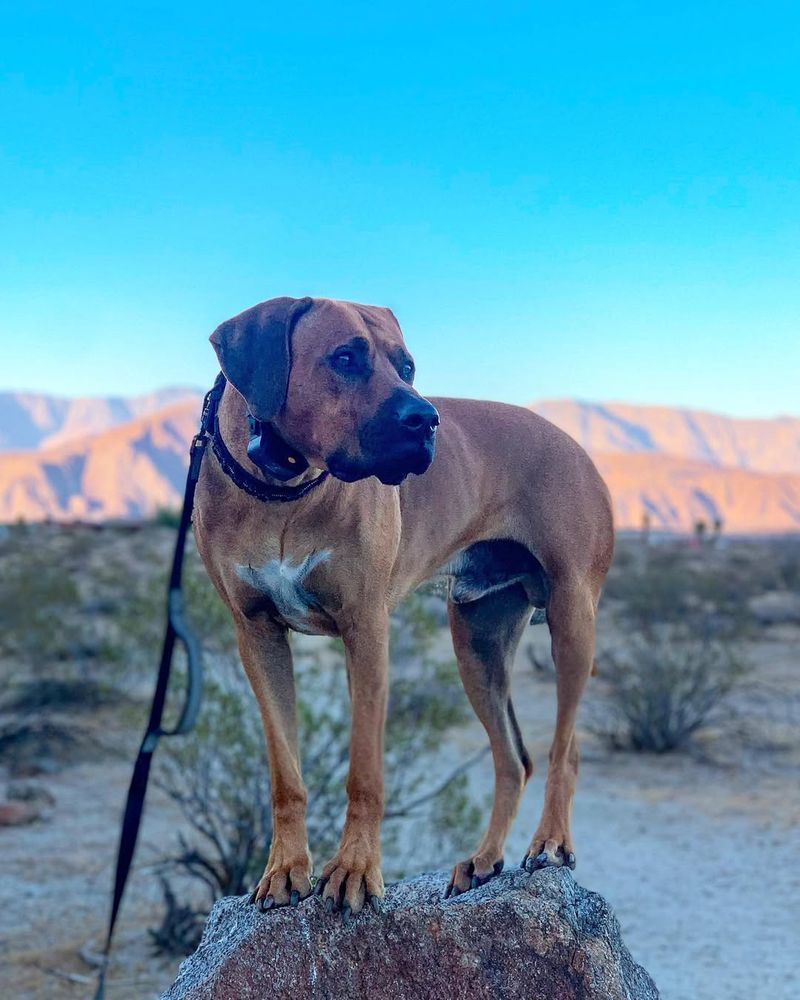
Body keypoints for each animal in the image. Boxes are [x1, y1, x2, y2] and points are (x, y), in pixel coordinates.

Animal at [192, 294, 612, 916]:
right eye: (345, 358)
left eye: (407, 366)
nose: (425, 419)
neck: (284, 489)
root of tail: (577, 446)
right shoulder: (257, 635)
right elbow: (284, 773)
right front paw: (286, 870)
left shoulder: (365, 627)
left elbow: (364, 771)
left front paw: (354, 871)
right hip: (477, 645)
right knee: (513, 758)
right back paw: (484, 861)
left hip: (572, 618)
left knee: (566, 748)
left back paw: (551, 842)